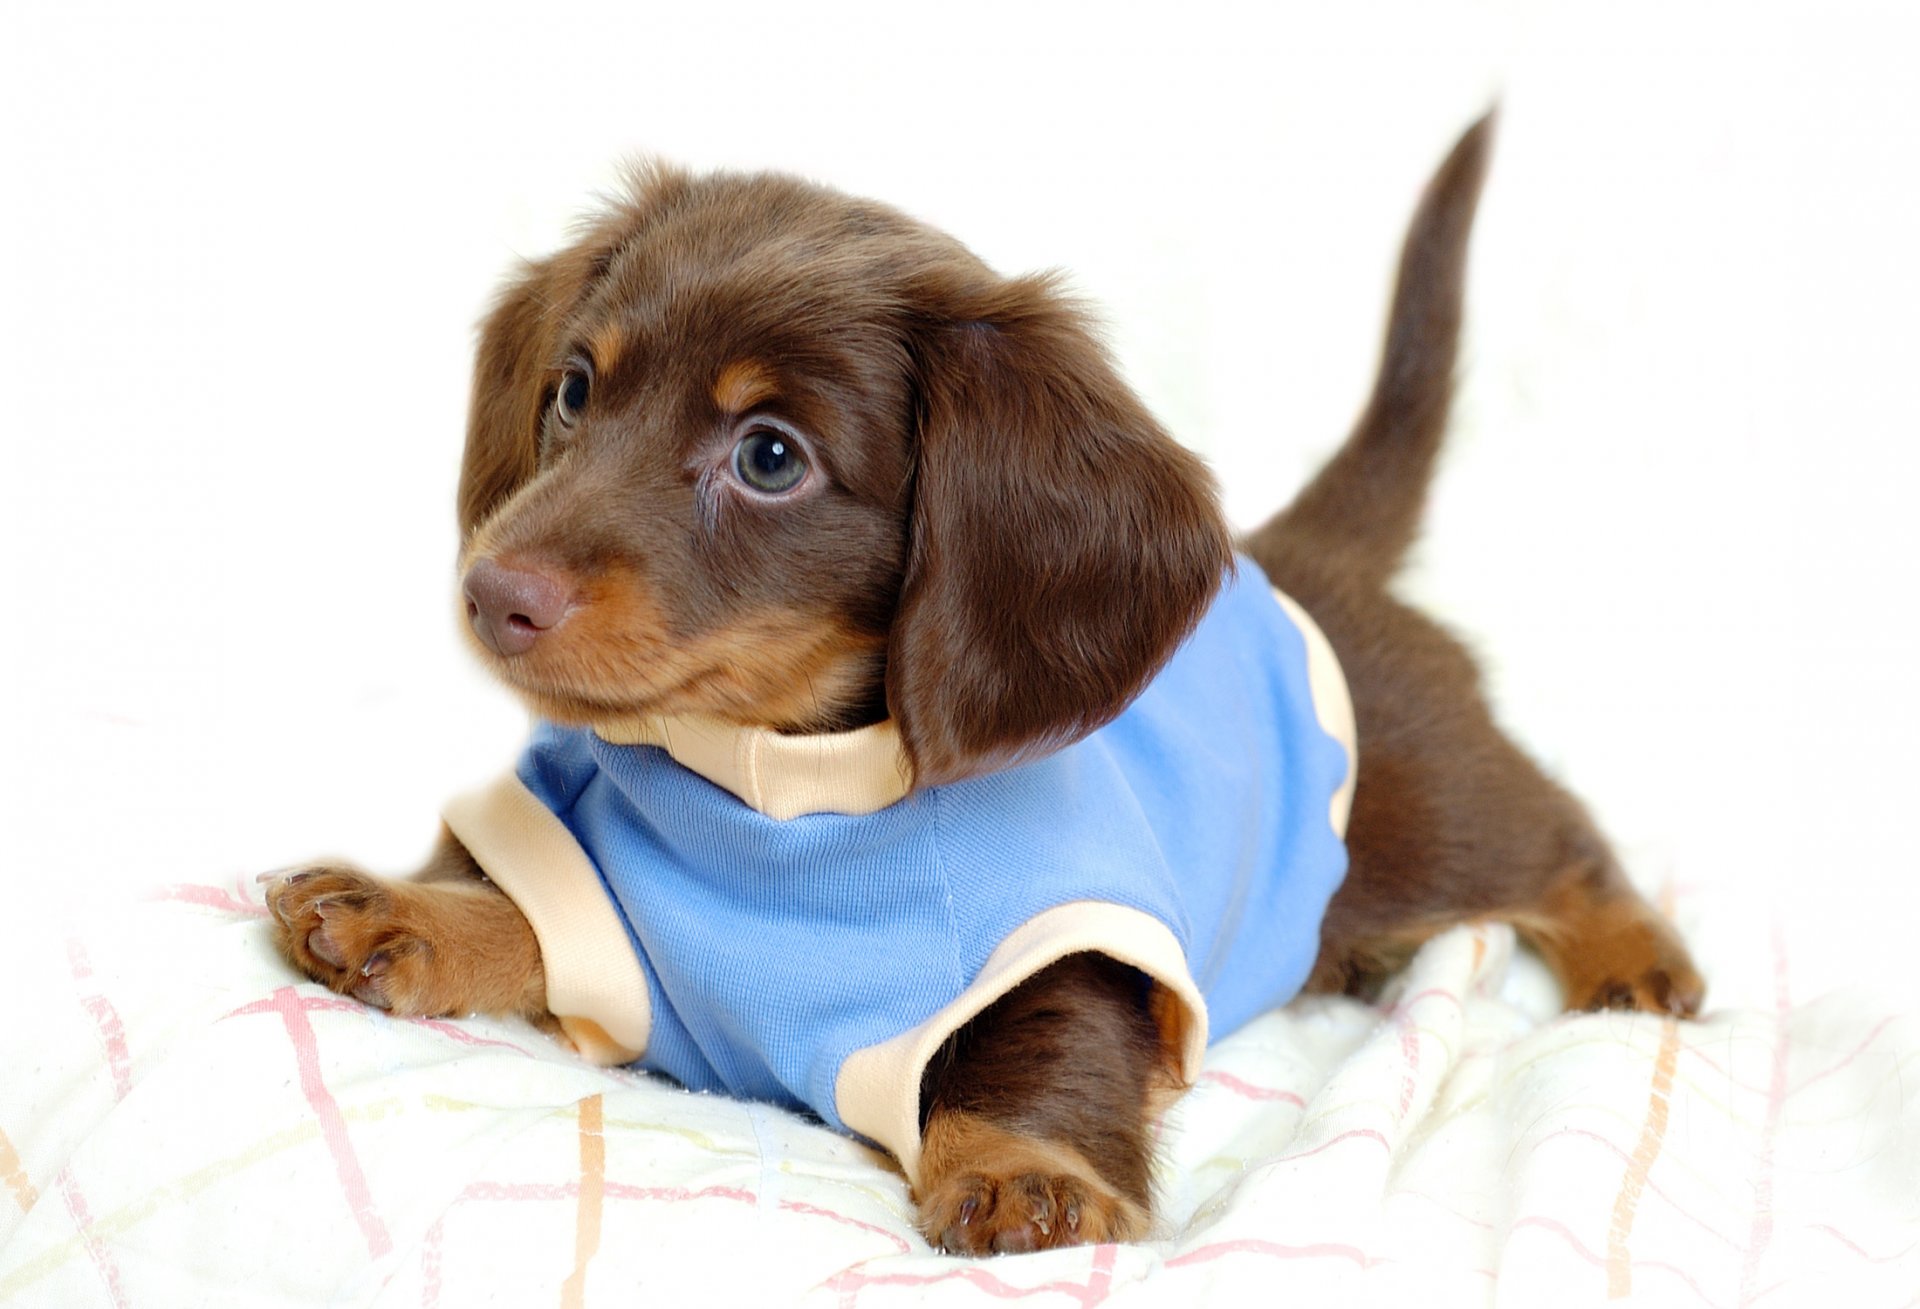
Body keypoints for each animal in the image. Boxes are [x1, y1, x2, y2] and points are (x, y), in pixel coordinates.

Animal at [263, 119, 1704, 1251]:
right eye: (574, 389)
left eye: (771, 455)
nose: (492, 593)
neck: (776, 795)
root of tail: (1304, 559)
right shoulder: (613, 902)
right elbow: (521, 901)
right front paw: (401, 911)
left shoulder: (1078, 943)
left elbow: (1035, 1047)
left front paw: (1024, 1170)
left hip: (1435, 815)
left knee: (1561, 844)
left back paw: (1634, 955)